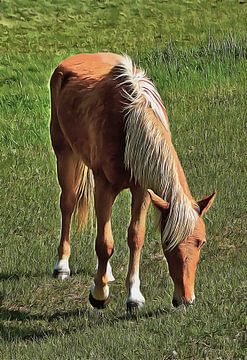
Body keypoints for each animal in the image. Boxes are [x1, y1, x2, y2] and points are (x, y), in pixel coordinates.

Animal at [49, 52, 215, 310]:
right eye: (168, 242)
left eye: (202, 242)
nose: (186, 299)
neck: (128, 124)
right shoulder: (104, 187)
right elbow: (104, 243)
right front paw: (99, 294)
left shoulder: (142, 189)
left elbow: (135, 236)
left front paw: (134, 296)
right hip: (64, 154)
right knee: (67, 204)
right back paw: (63, 266)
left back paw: (105, 273)